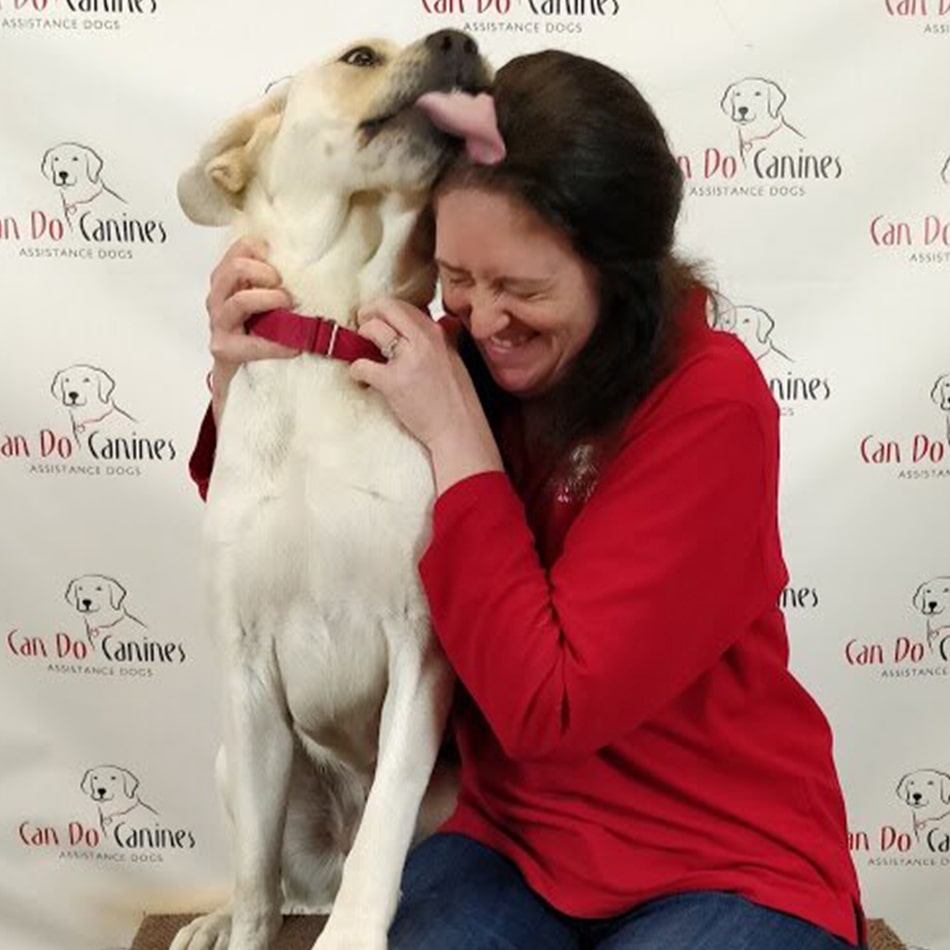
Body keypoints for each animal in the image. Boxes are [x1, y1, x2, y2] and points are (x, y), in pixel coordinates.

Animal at [175, 33, 494, 950]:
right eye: (360, 57)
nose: (463, 40)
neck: (331, 332)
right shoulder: (248, 675)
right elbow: (254, 883)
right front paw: (238, 928)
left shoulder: (419, 650)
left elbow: (383, 830)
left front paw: (352, 933)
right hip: (236, 761)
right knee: (275, 880)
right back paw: (211, 920)